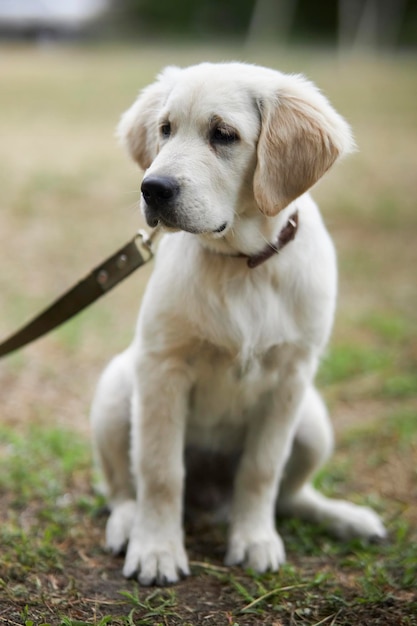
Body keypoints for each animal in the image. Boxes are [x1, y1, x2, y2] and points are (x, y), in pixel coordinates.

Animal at [89, 61, 386, 584]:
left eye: (223, 135)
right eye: (164, 129)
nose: (152, 188)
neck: (243, 264)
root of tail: (210, 501)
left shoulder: (290, 377)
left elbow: (261, 470)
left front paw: (254, 541)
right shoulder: (163, 368)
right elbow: (160, 471)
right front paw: (157, 548)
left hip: (313, 421)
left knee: (291, 495)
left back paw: (346, 518)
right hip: (116, 388)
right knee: (123, 488)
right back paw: (128, 524)